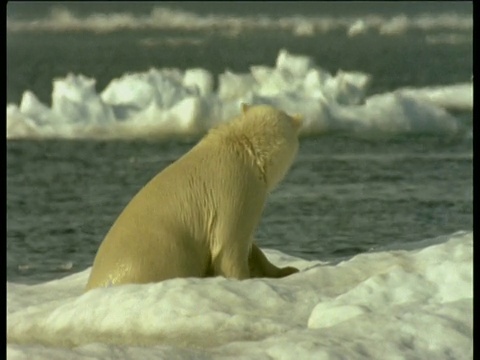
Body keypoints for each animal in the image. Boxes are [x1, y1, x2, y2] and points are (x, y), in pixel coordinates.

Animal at [86, 103, 302, 290]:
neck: (246, 147)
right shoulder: (238, 189)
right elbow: (229, 244)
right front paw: (244, 279)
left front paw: (287, 269)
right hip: (164, 252)